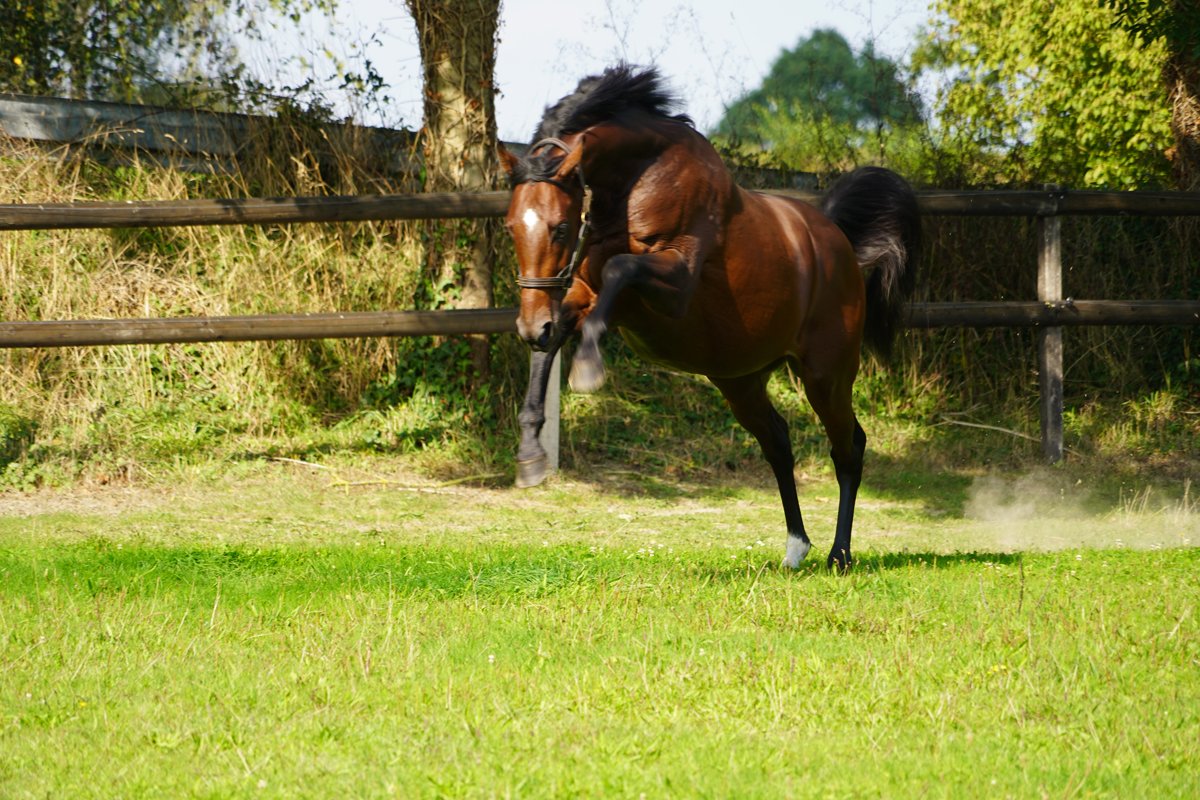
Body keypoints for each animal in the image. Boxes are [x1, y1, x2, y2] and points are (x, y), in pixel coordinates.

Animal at [499, 64, 920, 570]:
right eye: (511, 226)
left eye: (560, 228)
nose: (528, 326)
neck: (641, 179)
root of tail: (838, 240)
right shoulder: (587, 294)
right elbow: (557, 336)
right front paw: (530, 455)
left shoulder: (672, 288)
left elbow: (620, 269)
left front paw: (587, 369)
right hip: (741, 380)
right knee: (778, 442)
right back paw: (796, 546)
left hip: (825, 375)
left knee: (849, 447)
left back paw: (839, 554)